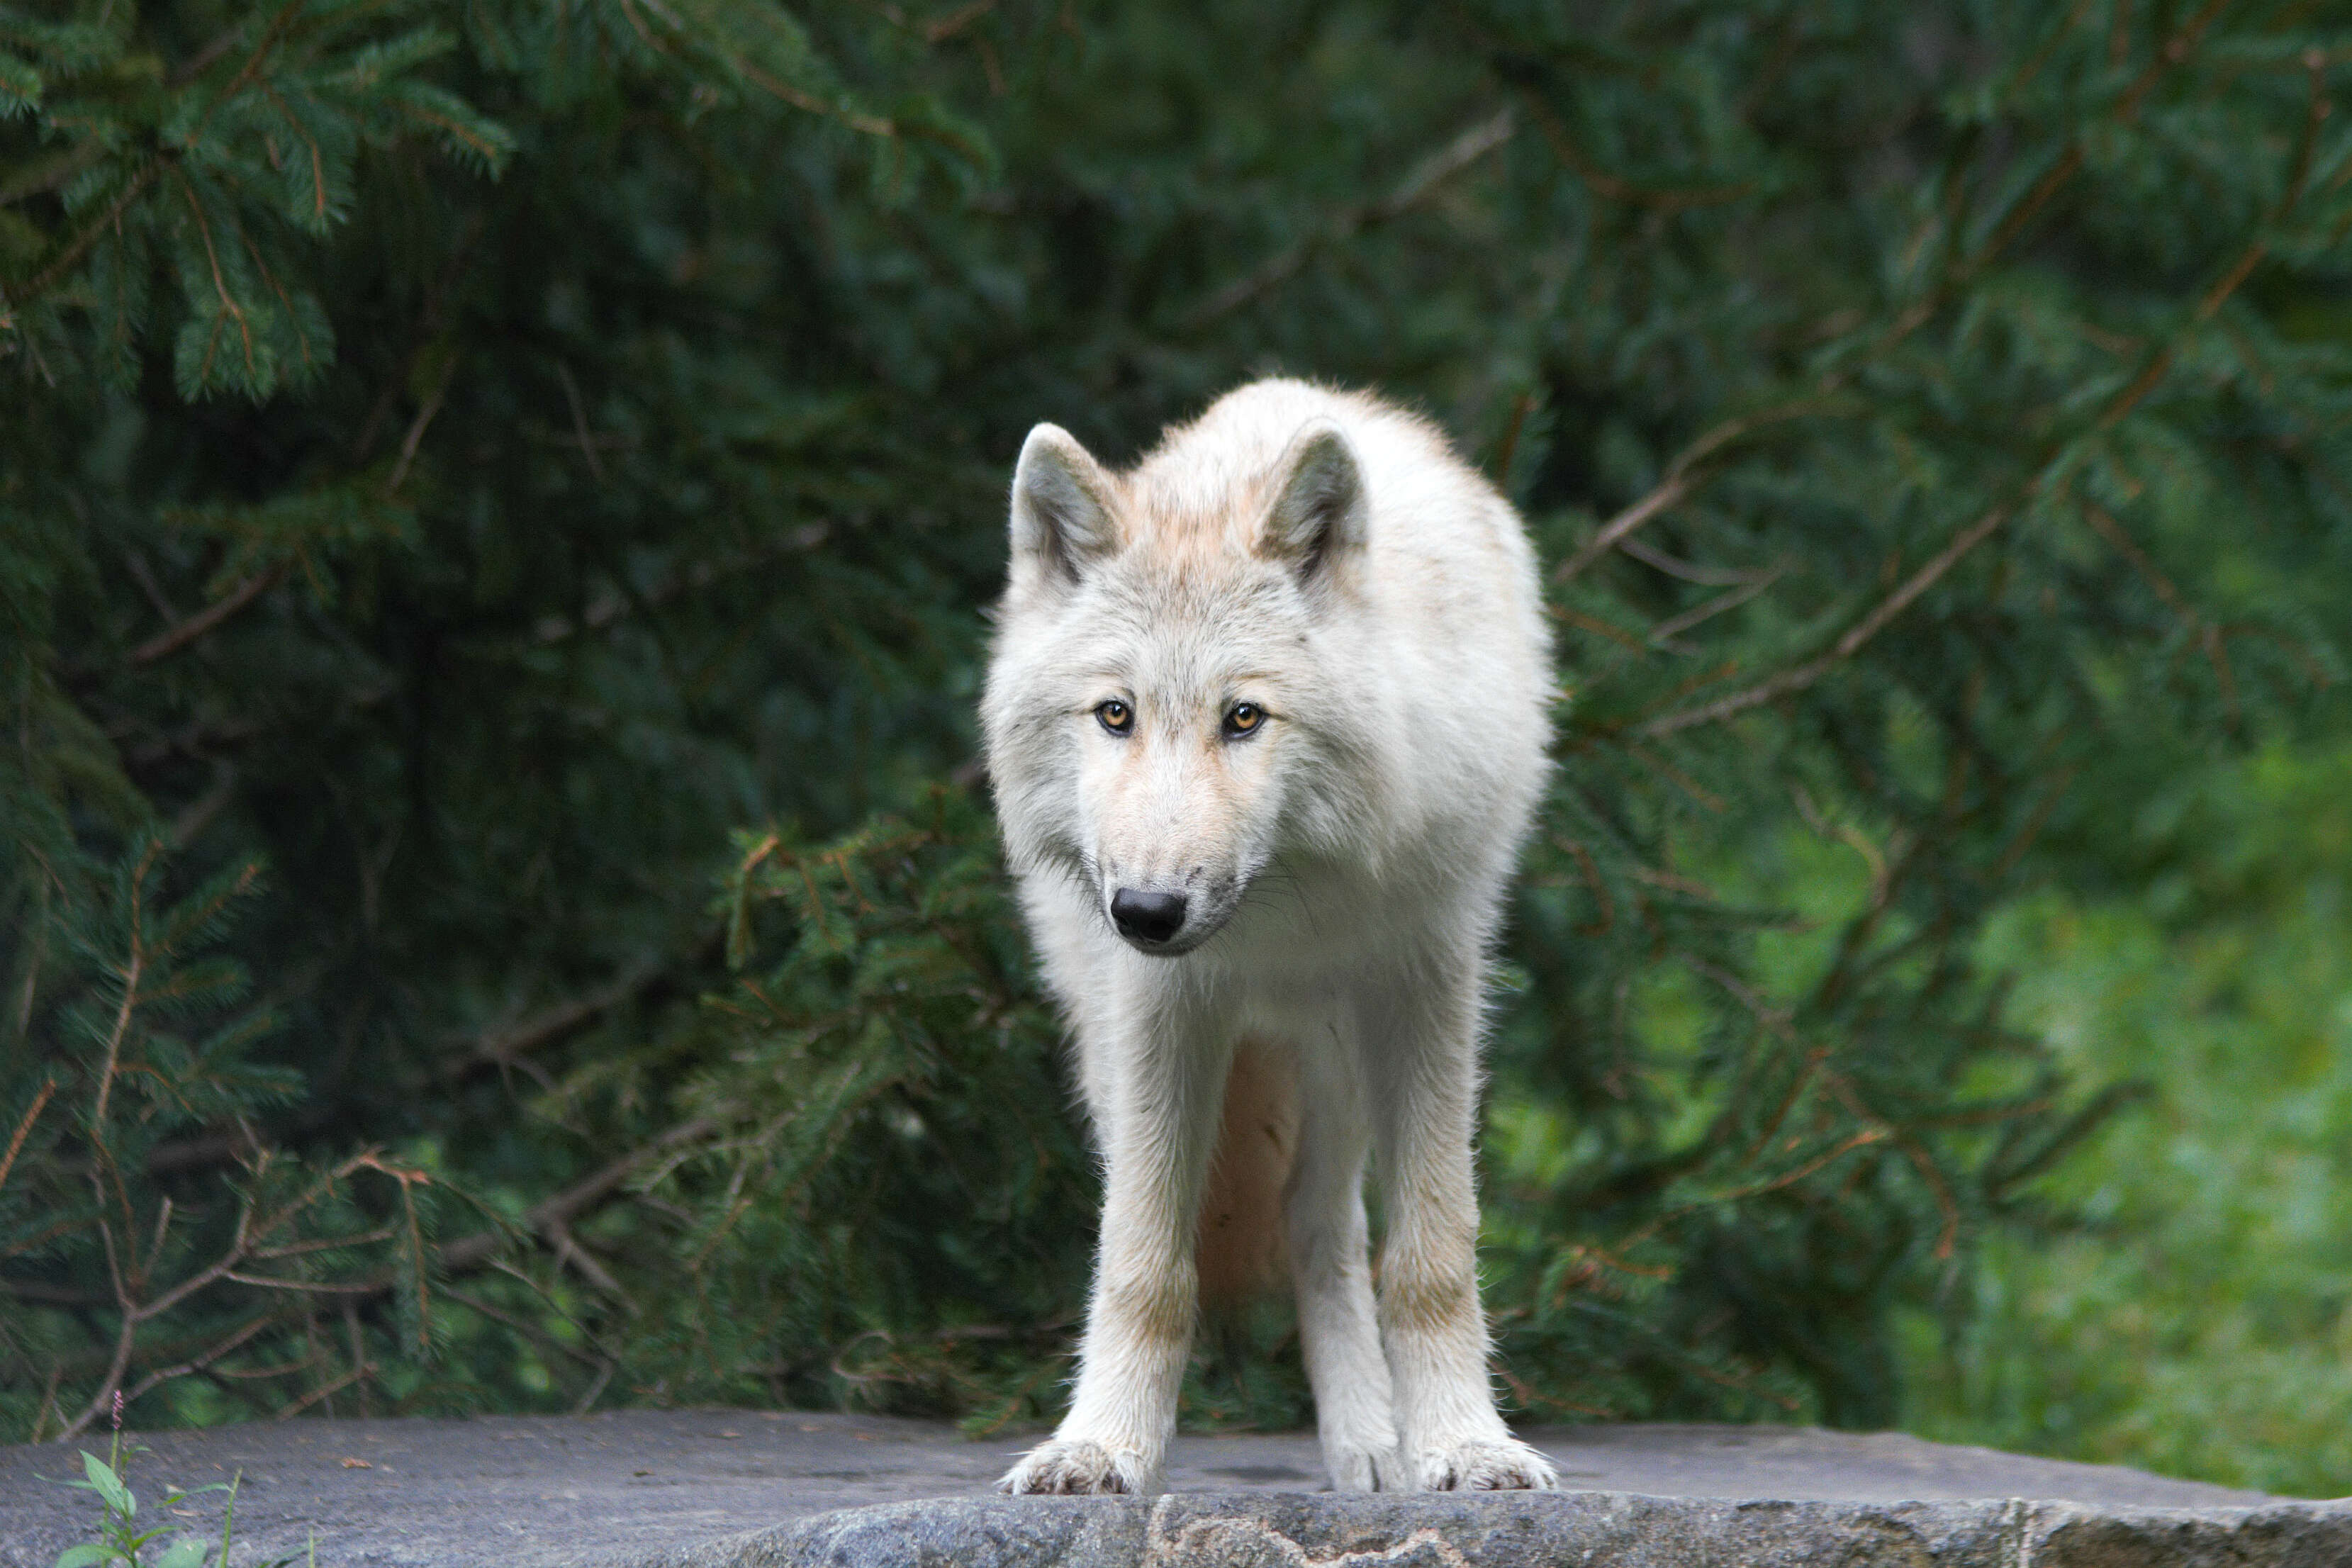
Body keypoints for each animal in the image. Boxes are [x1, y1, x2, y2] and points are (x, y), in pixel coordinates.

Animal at [978, 376, 1552, 1495]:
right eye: (1115, 714)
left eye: (1243, 718)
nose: (1147, 911)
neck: (1282, 914)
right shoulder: (1157, 1010)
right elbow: (1144, 1261)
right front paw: (1101, 1449)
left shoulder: (1428, 981)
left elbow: (1432, 1255)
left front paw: (1464, 1448)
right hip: (1109, 1040)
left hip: (1341, 1056)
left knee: (1319, 1223)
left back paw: (1373, 1446)